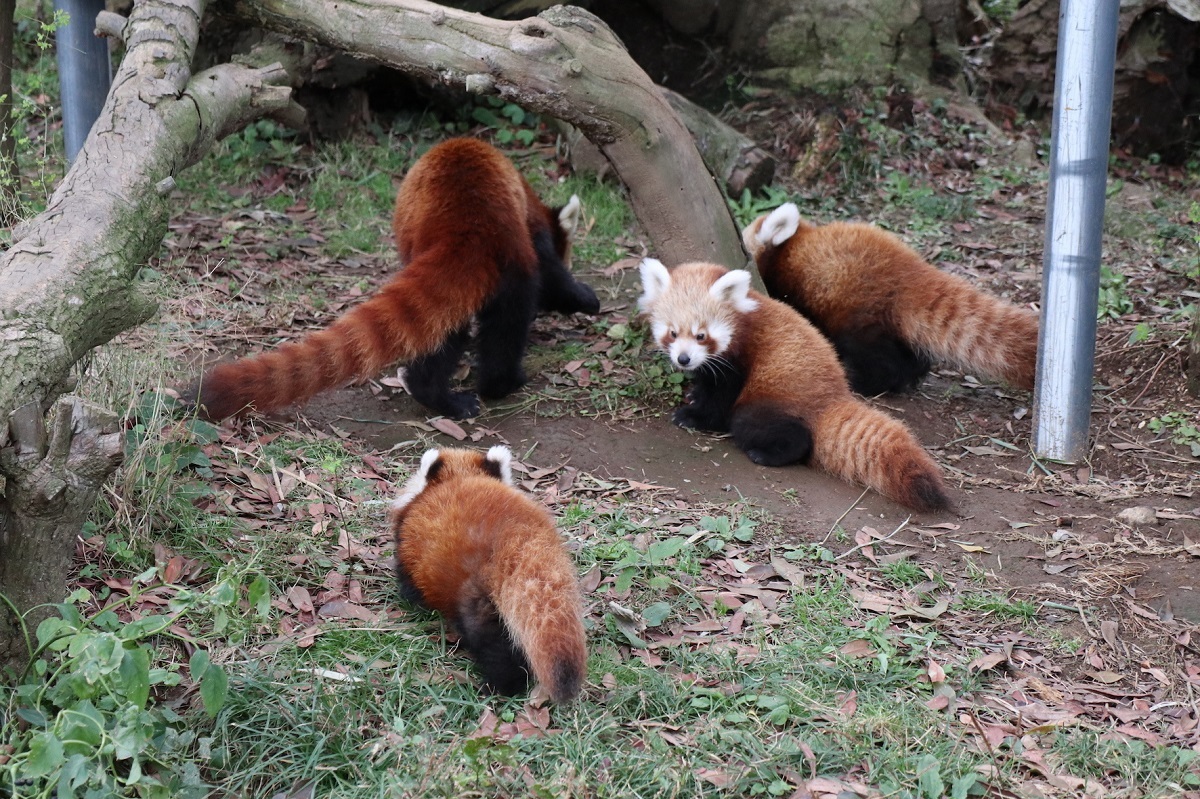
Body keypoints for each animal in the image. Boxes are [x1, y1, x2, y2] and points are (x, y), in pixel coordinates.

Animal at [184, 136, 597, 419]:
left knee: (457, 329)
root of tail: (469, 226)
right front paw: (585, 298)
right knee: (500, 326)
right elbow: (553, 279)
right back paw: (493, 387)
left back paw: (448, 392)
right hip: (512, 262)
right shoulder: (533, 233)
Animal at [388, 441, 585, 695]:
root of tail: (513, 534)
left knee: (491, 637)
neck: (460, 477)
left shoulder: (409, 547)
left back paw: (502, 684)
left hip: (476, 590)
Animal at [638, 257, 945, 513]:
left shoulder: (738, 364)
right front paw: (693, 395)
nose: (684, 358)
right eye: (673, 333)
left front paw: (692, 416)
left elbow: (719, 401)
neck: (742, 320)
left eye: (701, 335)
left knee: (769, 428)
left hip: (773, 400)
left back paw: (767, 453)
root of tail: (833, 398)